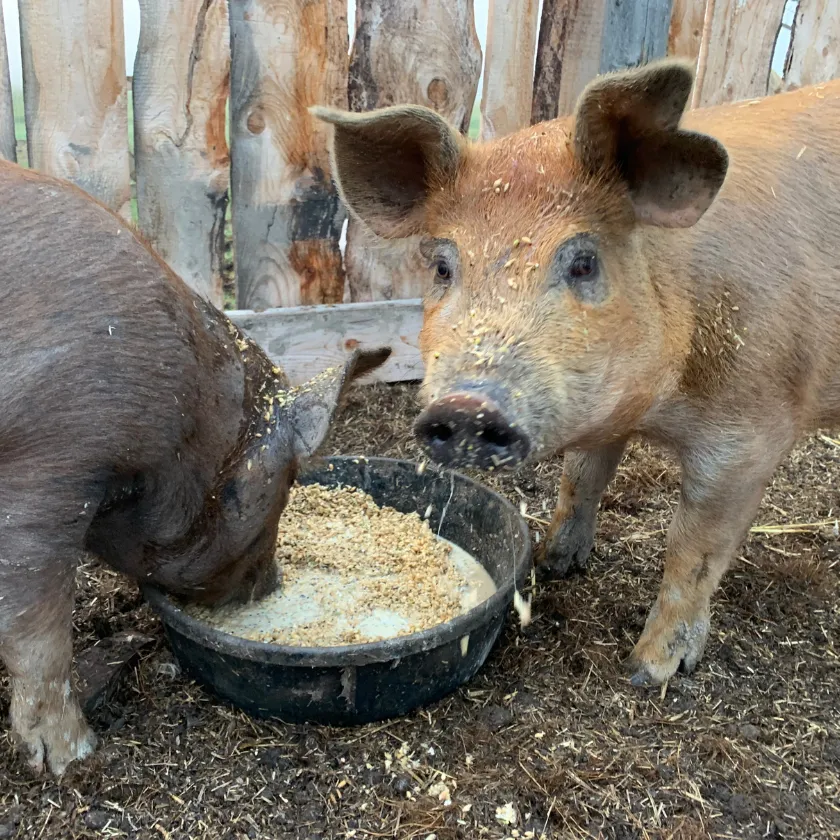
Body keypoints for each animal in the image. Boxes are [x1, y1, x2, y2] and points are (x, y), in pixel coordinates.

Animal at [313, 60, 840, 686]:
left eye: (584, 263)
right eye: (442, 266)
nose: (466, 408)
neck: (656, 408)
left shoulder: (752, 433)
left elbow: (694, 546)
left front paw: (647, 673)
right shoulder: (603, 412)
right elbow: (581, 479)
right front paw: (551, 563)